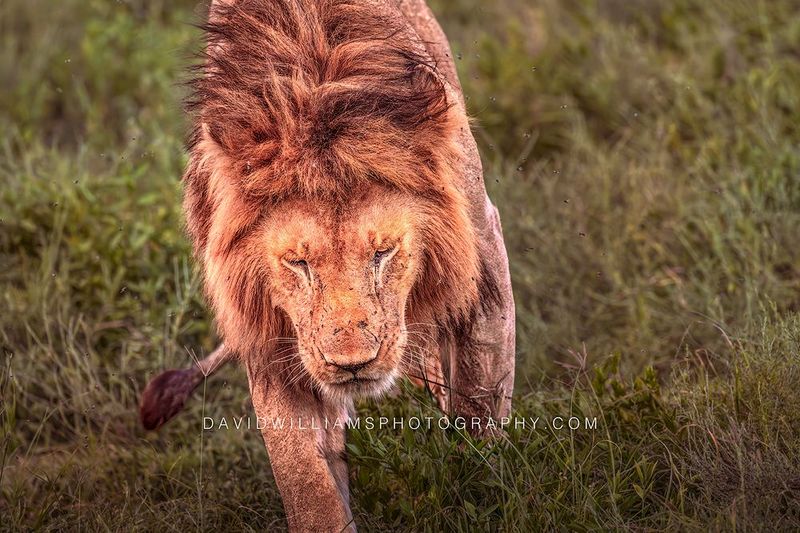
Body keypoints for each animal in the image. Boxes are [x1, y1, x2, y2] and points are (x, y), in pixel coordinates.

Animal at [139, 0, 515, 530]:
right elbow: (304, 478)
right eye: (298, 263)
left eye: (383, 252)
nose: (352, 365)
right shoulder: (272, 335)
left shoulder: (483, 260)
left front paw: (480, 492)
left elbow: (480, 402)